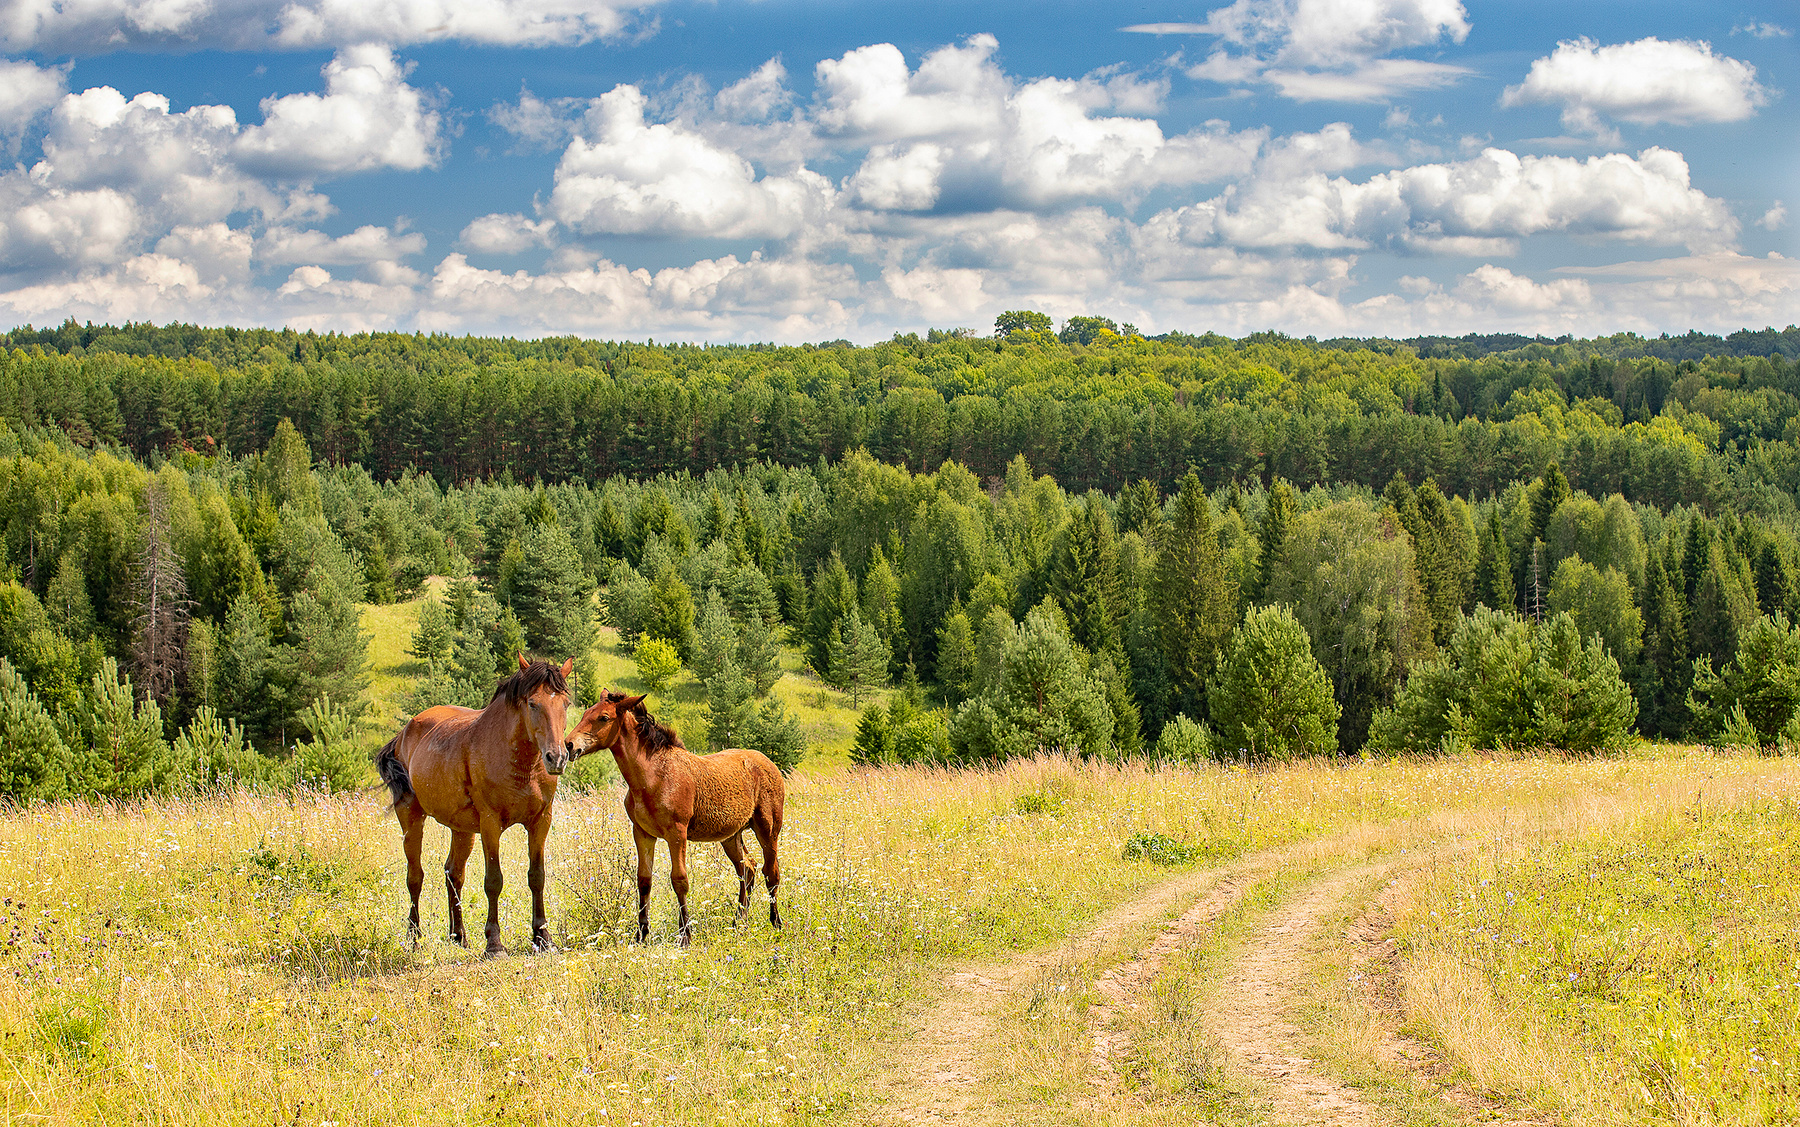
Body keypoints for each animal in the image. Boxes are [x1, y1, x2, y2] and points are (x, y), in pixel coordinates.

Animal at [374, 655, 574, 956]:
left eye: (565, 703)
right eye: (532, 703)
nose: (557, 758)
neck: (521, 763)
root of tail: (405, 732)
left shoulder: (541, 821)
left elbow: (537, 876)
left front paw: (542, 937)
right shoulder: (490, 824)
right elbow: (493, 881)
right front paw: (494, 943)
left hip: (462, 829)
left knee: (453, 873)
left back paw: (459, 935)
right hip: (411, 818)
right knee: (415, 876)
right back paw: (414, 937)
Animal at [564, 691, 785, 945]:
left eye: (603, 717)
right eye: (585, 713)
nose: (569, 744)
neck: (653, 776)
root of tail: (769, 763)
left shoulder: (677, 834)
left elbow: (679, 880)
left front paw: (685, 935)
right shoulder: (642, 833)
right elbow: (644, 880)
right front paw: (641, 934)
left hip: (768, 829)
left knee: (771, 872)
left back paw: (776, 922)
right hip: (731, 835)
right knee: (748, 869)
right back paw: (739, 922)